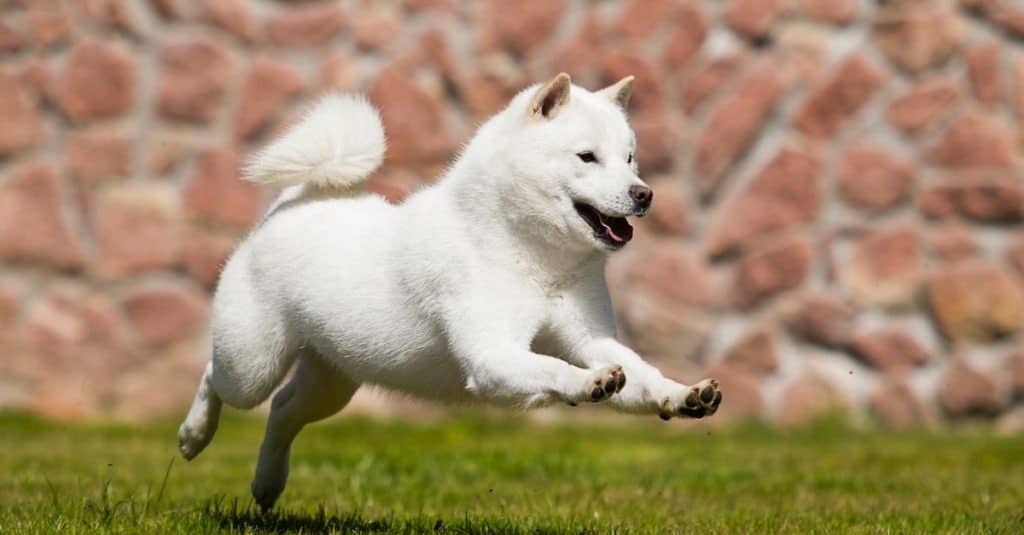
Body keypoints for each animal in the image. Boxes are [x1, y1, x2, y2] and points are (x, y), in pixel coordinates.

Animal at [178, 73, 720, 508]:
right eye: (587, 157)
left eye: (630, 159)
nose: (644, 193)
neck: (530, 255)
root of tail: (294, 201)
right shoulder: (492, 356)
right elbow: (552, 368)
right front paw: (588, 383)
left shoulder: (593, 339)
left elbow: (643, 377)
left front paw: (684, 395)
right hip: (254, 363)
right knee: (216, 377)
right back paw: (193, 436)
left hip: (331, 379)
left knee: (283, 411)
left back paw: (267, 485)